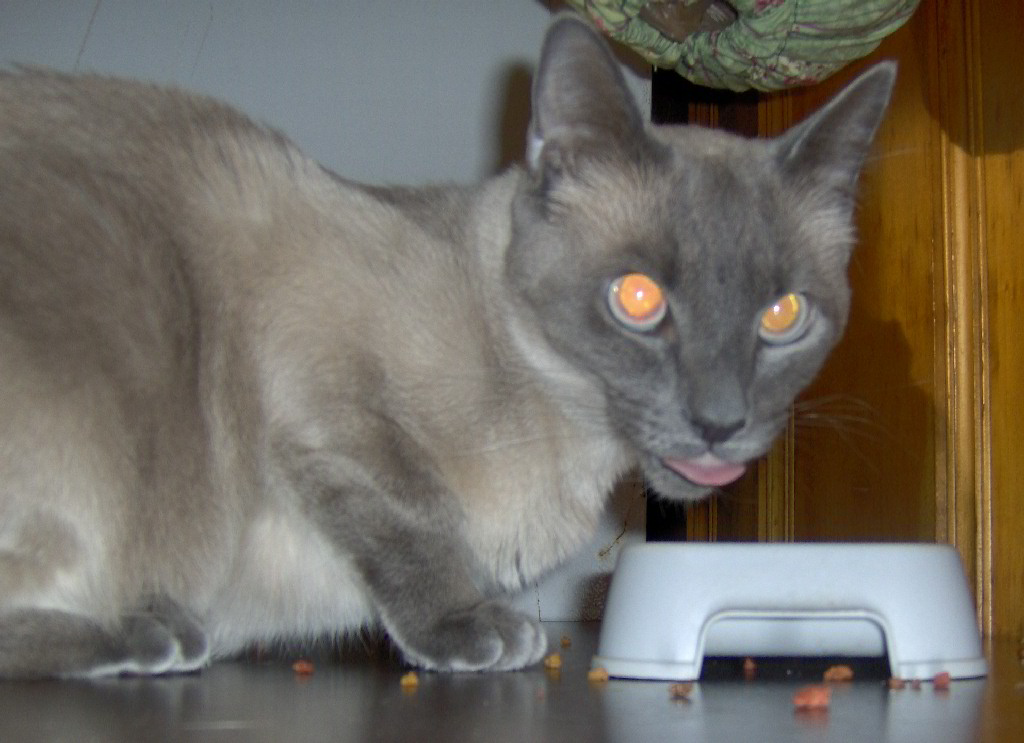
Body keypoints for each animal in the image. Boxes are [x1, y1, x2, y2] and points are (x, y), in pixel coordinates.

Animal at [0, 14, 894, 678]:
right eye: (637, 299)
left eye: (783, 314)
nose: (719, 423)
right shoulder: (320, 386)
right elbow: (413, 511)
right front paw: (474, 626)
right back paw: (148, 632)